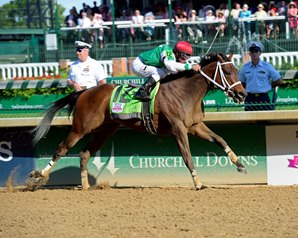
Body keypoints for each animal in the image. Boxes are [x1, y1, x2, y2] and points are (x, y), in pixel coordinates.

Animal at [28, 52, 247, 192]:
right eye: (228, 72)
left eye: (237, 70)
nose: (242, 94)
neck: (185, 91)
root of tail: (85, 91)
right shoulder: (178, 129)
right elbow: (187, 157)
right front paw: (198, 183)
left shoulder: (195, 126)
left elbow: (220, 140)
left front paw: (240, 164)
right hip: (80, 128)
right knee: (61, 149)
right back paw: (37, 178)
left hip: (104, 131)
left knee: (84, 153)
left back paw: (85, 185)